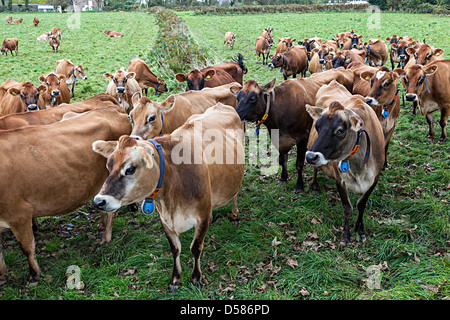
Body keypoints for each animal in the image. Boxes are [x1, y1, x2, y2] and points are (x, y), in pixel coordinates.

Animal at [0, 105, 132, 284]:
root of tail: (111, 108)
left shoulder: (19, 213)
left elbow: (27, 247)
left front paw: (34, 275)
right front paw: (2, 275)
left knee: (112, 211)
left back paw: (106, 237)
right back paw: (101, 228)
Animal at [304, 97, 384, 245]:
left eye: (340, 131)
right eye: (317, 127)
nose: (311, 157)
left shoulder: (375, 179)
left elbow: (361, 204)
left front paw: (360, 230)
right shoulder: (340, 179)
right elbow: (347, 208)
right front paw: (346, 236)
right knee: (316, 170)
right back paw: (314, 185)